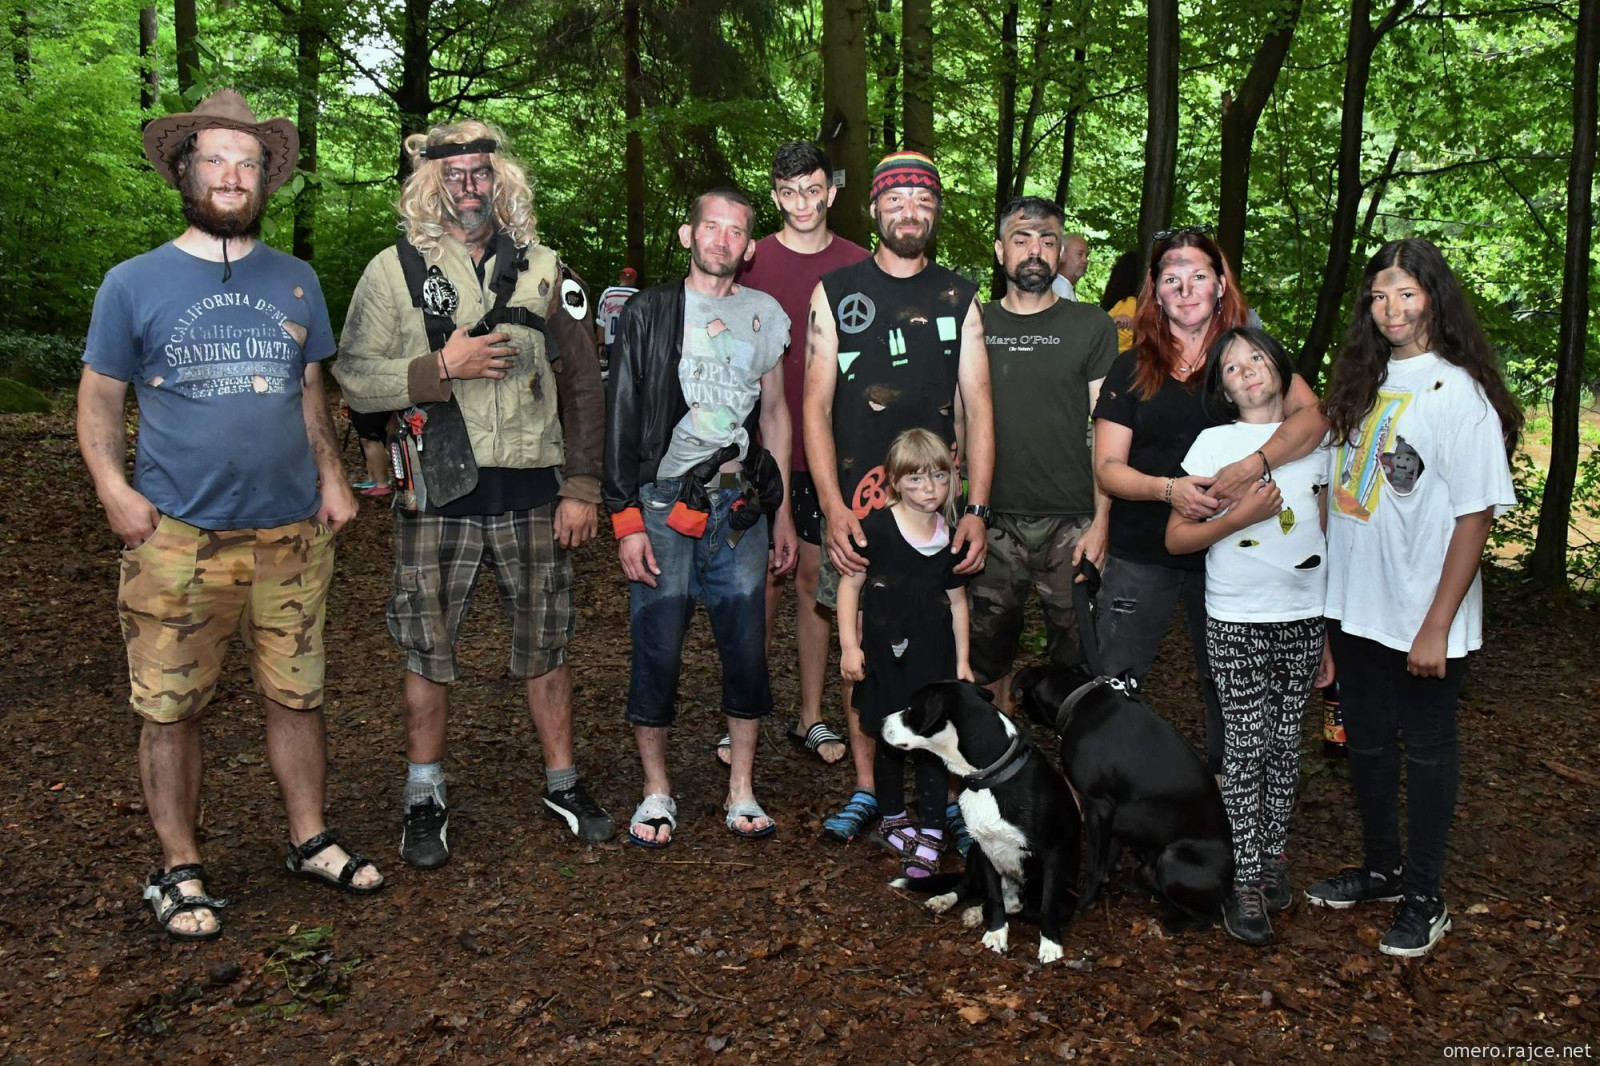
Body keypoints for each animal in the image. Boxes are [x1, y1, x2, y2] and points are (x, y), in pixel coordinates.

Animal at [879, 681, 1081, 964]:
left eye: (910, 708)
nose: (881, 722)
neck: (991, 777)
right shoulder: (984, 848)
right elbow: (994, 897)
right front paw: (996, 934)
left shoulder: (1052, 855)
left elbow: (1047, 905)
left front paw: (1051, 945)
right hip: (973, 855)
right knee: (970, 887)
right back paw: (947, 900)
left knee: (1022, 905)